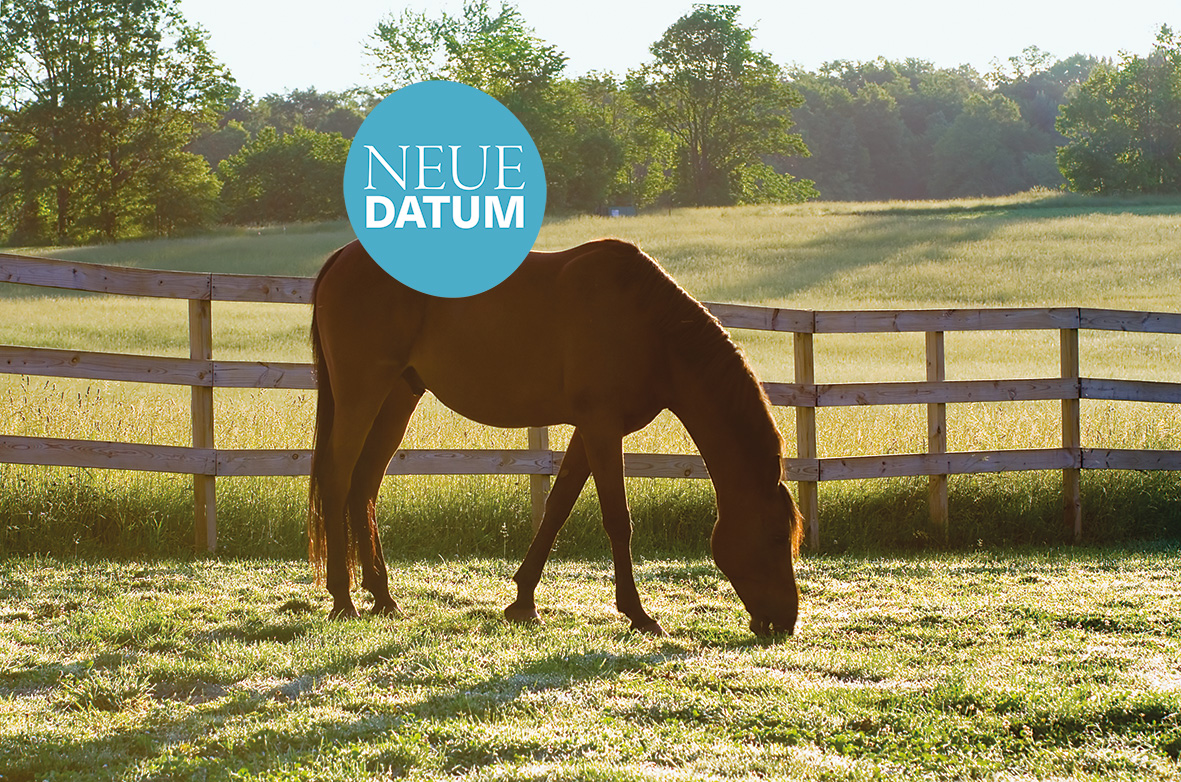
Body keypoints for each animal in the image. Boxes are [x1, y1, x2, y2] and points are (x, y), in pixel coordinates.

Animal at [307, 238, 803, 637]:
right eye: (778, 536)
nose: (786, 622)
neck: (648, 327)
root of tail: (342, 257)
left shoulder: (590, 430)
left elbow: (557, 507)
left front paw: (523, 601)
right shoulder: (602, 426)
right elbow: (617, 519)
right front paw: (638, 614)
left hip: (397, 397)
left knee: (363, 486)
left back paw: (382, 596)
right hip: (361, 395)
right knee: (337, 479)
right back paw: (343, 599)